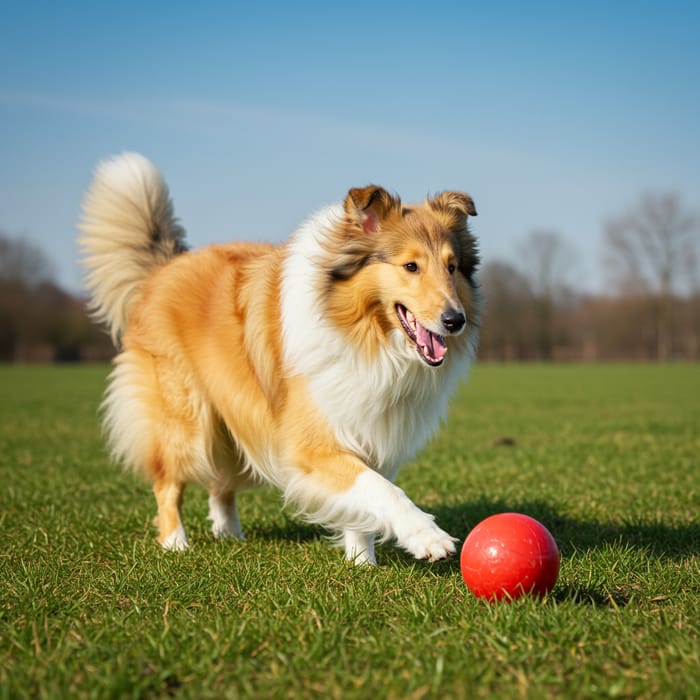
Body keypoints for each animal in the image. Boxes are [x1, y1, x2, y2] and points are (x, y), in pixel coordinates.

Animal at [79, 152, 478, 564]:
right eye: (410, 266)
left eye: (452, 267)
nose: (455, 321)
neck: (367, 336)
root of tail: (167, 265)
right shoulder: (312, 444)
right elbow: (382, 490)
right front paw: (428, 538)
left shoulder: (372, 433)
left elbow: (366, 503)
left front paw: (361, 564)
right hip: (187, 422)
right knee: (169, 482)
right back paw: (175, 543)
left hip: (234, 421)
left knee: (221, 483)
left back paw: (229, 535)